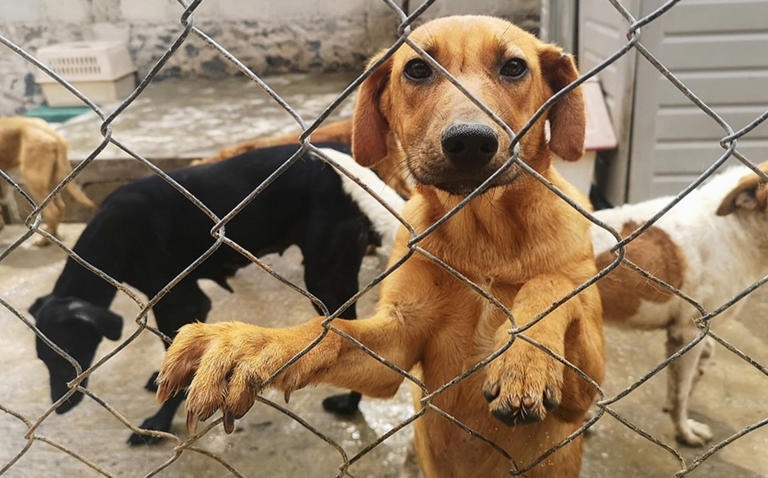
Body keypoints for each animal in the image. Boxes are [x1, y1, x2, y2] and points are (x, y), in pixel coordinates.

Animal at [0, 115, 95, 243]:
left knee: (52, 212)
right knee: (60, 207)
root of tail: (54, 135)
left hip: (33, 181)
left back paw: (43, 240)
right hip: (52, 183)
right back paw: (52, 234)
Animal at [28, 142, 402, 444]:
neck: (113, 232)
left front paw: (159, 422)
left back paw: (349, 402)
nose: (60, 408)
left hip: (325, 279)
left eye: (70, 351)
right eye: (44, 359)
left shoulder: (179, 301)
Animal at [156, 15, 604, 478]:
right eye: (417, 69)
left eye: (514, 67)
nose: (470, 141)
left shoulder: (583, 392)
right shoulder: (397, 344)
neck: (484, 237)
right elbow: (330, 332)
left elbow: (551, 284)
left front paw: (525, 358)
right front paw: (251, 343)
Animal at [596, 162, 768, 446]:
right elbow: (682, 392)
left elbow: (689, 370)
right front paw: (685, 432)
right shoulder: (687, 331)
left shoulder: (684, 332)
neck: (737, 225)